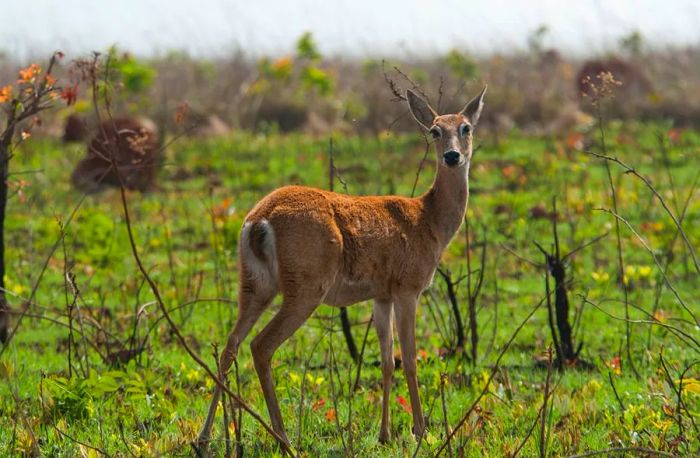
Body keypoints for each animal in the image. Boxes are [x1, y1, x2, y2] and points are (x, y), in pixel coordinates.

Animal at [194, 86, 484, 448]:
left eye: (466, 127)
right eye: (435, 130)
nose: (452, 156)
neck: (428, 219)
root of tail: (258, 220)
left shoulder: (382, 295)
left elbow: (387, 362)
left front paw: (385, 434)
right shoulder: (408, 288)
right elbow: (410, 359)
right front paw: (421, 431)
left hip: (254, 283)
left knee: (229, 345)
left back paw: (204, 437)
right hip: (305, 286)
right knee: (261, 345)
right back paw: (283, 437)